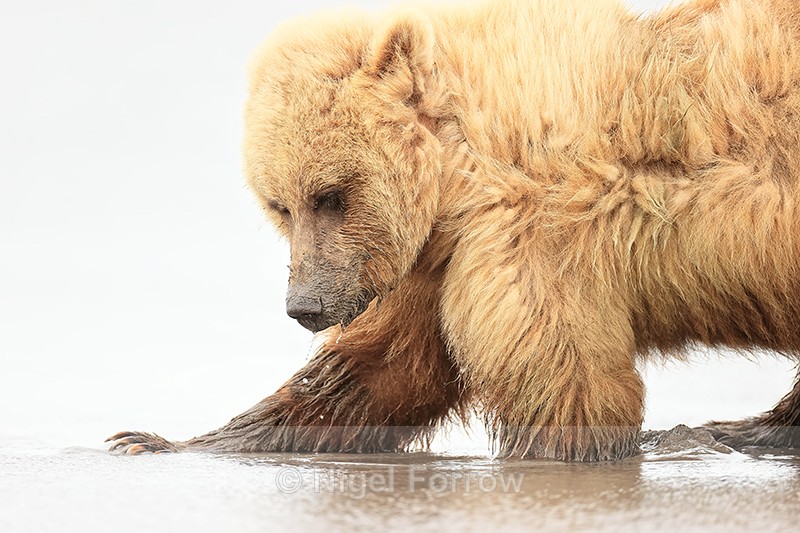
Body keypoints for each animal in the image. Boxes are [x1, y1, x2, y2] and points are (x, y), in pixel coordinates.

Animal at [108, 0, 800, 461]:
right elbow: (381, 372)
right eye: (279, 204)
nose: (304, 306)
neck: (459, 174)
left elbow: (567, 385)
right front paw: (153, 438)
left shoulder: (529, 238)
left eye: (330, 195)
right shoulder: (432, 264)